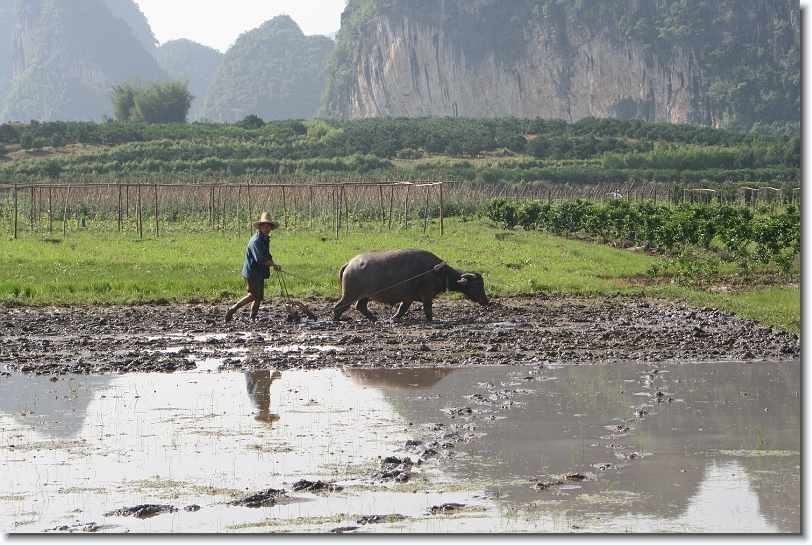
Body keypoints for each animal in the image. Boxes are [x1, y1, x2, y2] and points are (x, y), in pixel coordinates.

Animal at [332, 249, 488, 320]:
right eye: (478, 283)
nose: (486, 301)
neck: (440, 272)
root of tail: (349, 264)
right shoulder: (427, 295)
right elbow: (428, 310)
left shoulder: (408, 298)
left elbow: (402, 309)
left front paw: (394, 318)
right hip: (350, 294)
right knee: (338, 307)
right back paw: (337, 320)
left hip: (365, 296)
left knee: (360, 306)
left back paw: (374, 318)